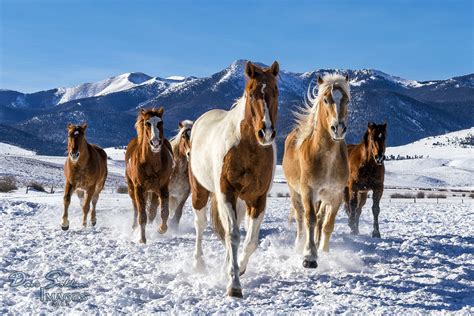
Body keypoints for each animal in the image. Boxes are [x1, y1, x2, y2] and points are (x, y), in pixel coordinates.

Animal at [126, 107, 174, 243]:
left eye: (161, 122)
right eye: (147, 123)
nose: (155, 143)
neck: (151, 163)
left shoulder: (163, 187)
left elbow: (164, 212)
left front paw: (161, 229)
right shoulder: (138, 189)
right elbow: (142, 215)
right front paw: (142, 239)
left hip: (153, 191)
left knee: (152, 211)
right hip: (132, 189)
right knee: (136, 209)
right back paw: (134, 227)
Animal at [284, 74, 350, 270]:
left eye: (347, 100)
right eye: (326, 100)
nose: (339, 128)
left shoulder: (336, 195)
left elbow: (328, 223)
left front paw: (324, 250)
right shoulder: (308, 191)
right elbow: (310, 219)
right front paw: (309, 256)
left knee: (320, 218)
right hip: (294, 192)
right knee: (300, 218)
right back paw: (298, 245)